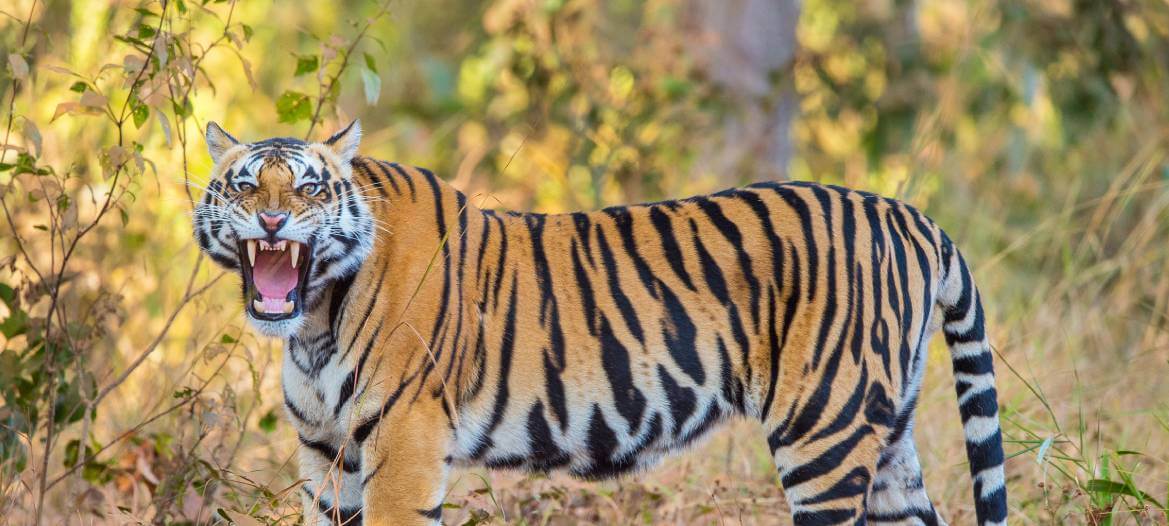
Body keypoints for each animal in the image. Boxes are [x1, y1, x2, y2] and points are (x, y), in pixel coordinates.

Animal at [193, 120, 1008, 526]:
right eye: (243, 186)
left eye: (307, 188)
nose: (272, 219)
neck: (315, 320)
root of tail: (910, 216)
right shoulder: (323, 450)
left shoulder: (404, 441)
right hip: (884, 434)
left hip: (823, 433)